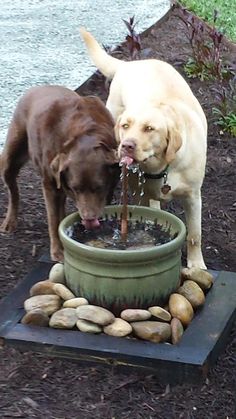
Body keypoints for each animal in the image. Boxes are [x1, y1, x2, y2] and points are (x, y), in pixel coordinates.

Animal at [0, 85, 120, 260]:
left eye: (99, 187)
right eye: (76, 188)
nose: (89, 218)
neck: (85, 133)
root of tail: (36, 87)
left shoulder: (109, 188)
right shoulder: (49, 184)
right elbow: (53, 219)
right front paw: (57, 251)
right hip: (11, 156)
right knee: (13, 191)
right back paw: (9, 222)